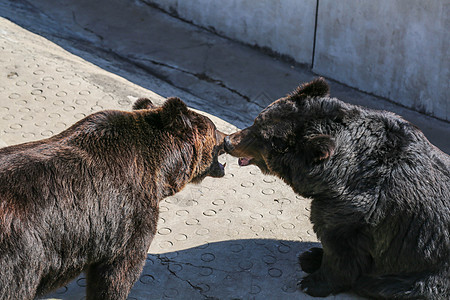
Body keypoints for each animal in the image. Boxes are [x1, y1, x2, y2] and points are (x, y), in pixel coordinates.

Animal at [0, 97, 225, 298]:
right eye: (215, 128)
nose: (227, 137)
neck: (160, 171)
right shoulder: (130, 219)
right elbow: (117, 275)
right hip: (21, 253)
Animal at [225, 78, 450, 298]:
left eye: (259, 136)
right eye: (256, 121)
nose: (228, 141)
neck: (336, 174)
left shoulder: (359, 207)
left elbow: (340, 247)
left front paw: (313, 282)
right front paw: (312, 256)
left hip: (428, 274)